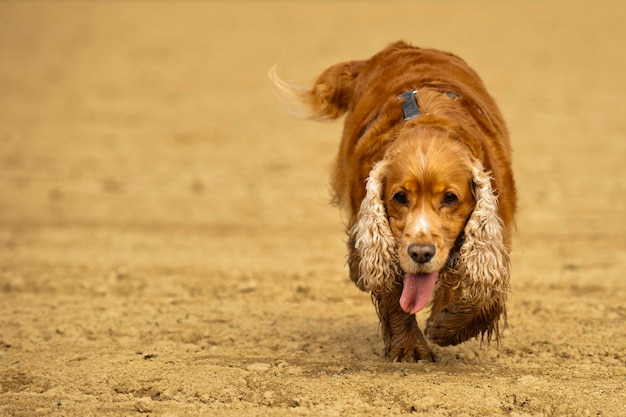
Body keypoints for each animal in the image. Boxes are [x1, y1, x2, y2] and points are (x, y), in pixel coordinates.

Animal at [270, 41, 516, 360]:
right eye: (399, 197)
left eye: (450, 198)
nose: (421, 253)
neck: (429, 125)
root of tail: (397, 48)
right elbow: (393, 293)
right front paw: (410, 346)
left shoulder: (498, 229)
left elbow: (486, 296)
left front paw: (447, 326)